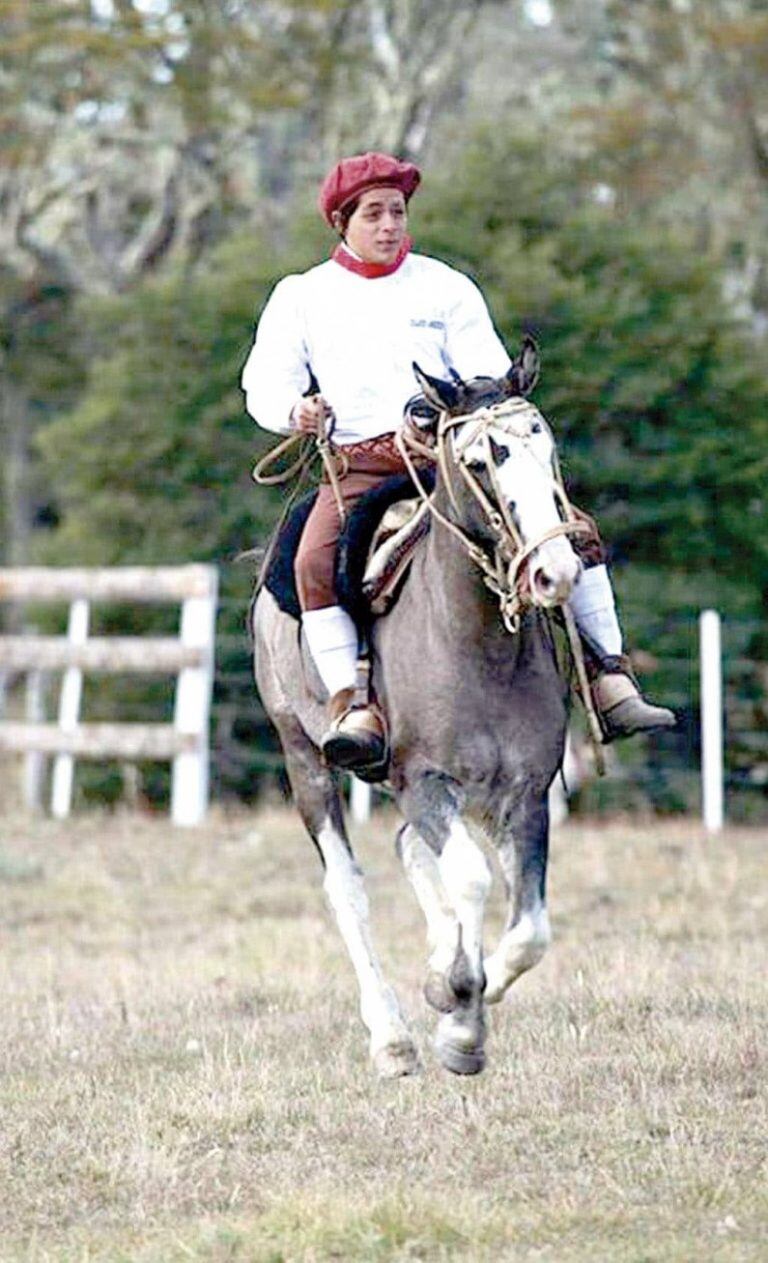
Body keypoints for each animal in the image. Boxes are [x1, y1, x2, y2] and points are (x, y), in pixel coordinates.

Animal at [252, 338, 581, 1076]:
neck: (473, 641)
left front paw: (462, 997)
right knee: (347, 888)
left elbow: (529, 930)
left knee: (409, 848)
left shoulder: (526, 792)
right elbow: (472, 880)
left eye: (545, 445)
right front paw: (459, 1022)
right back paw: (393, 1039)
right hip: (304, 758)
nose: (556, 571)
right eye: (481, 460)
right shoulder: (426, 779)